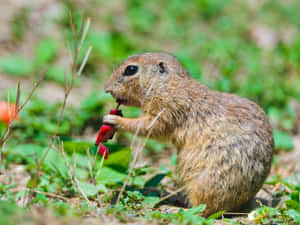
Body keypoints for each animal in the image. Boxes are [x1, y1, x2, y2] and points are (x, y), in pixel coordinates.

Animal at [103, 51, 274, 215]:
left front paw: (113, 119)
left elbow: (147, 127)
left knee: (204, 210)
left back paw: (172, 208)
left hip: (204, 184)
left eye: (131, 69)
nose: (106, 89)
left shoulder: (166, 111)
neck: (168, 85)